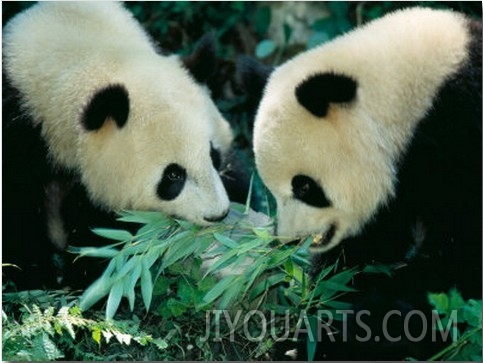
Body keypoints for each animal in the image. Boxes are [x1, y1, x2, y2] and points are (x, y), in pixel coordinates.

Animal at [0, 0, 246, 290]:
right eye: (173, 175)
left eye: (213, 155)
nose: (217, 215)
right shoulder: (19, 132)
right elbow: (17, 213)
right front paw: (40, 274)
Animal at [241, 7, 480, 362]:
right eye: (271, 189)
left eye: (304, 187)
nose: (289, 240)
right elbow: (366, 247)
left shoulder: (459, 140)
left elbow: (456, 260)